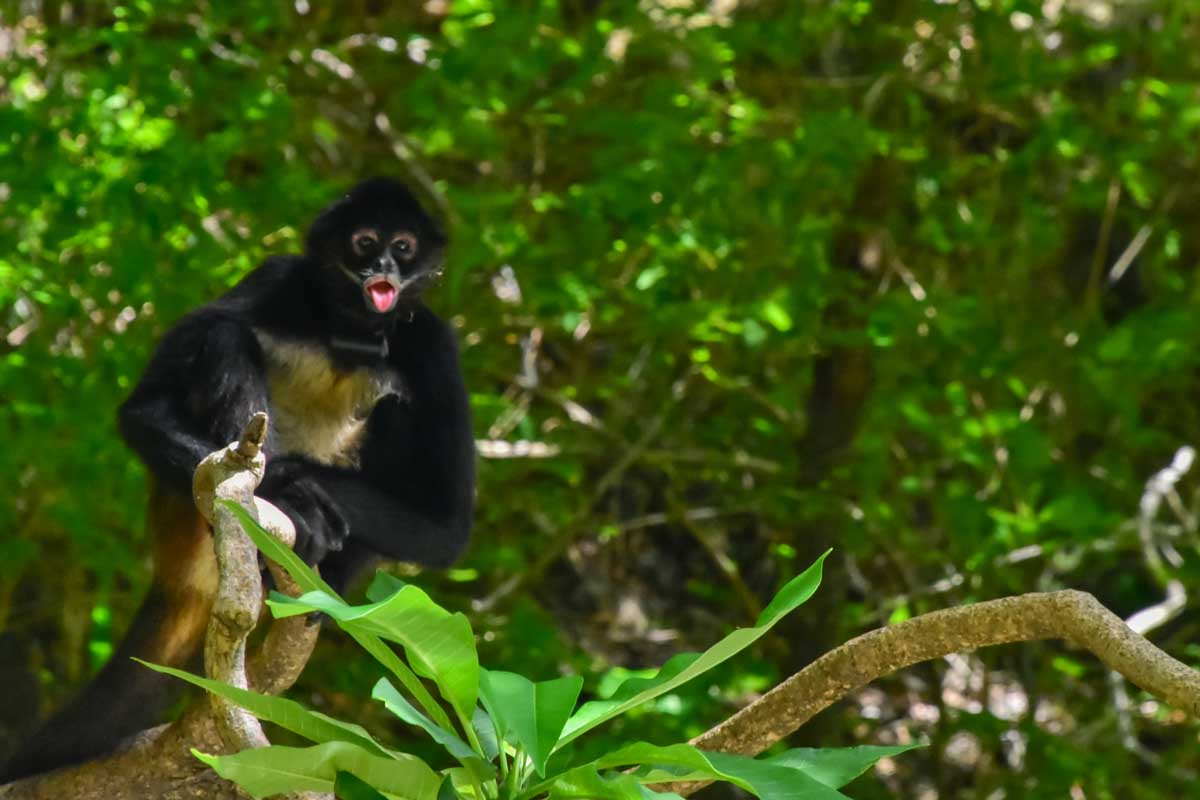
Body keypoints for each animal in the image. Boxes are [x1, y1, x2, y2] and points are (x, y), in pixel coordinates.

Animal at [0, 178, 475, 781]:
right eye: (364, 241)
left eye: (405, 247)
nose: (383, 265)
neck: (348, 334)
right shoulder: (277, 275)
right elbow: (143, 410)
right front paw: (289, 487)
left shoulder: (435, 343)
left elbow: (445, 529)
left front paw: (302, 493)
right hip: (180, 507)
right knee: (227, 335)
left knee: (393, 403)